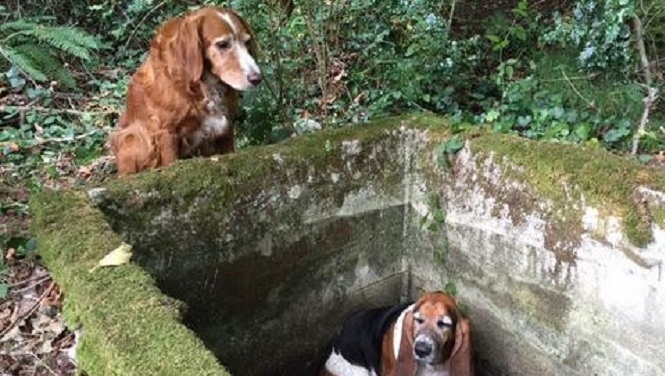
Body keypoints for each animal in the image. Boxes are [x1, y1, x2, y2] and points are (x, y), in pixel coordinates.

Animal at [107, 6, 260, 176]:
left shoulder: (226, 127)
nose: (257, 78)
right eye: (222, 44)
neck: (201, 85)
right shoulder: (166, 132)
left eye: (247, 43)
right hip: (132, 137)